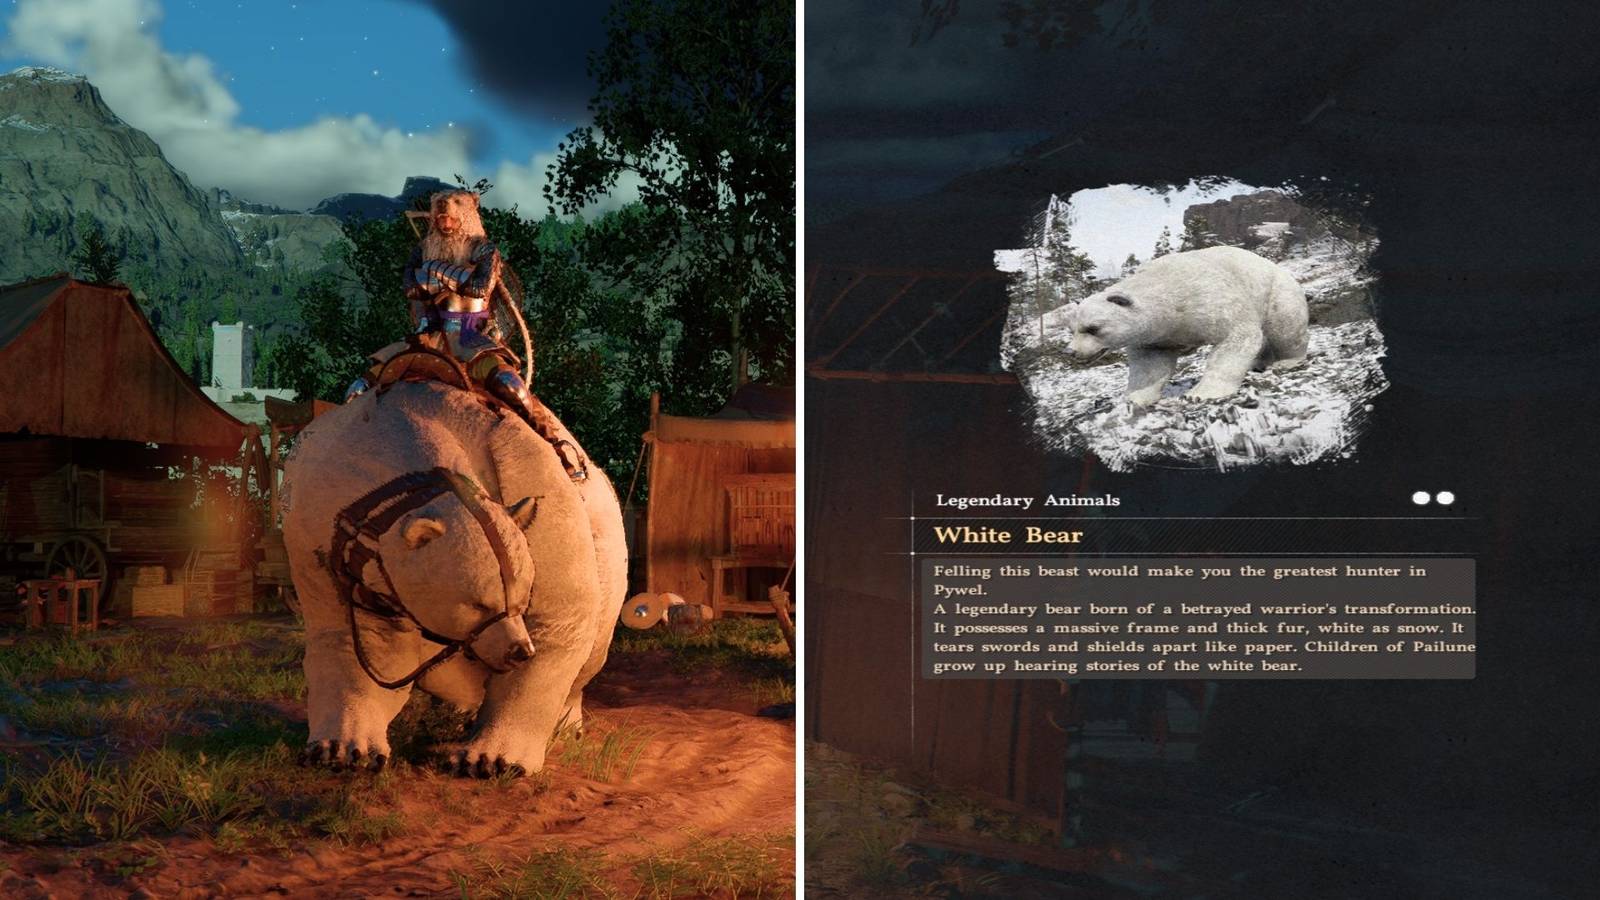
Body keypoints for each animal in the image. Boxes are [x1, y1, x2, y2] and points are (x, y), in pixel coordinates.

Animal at [1066, 245, 1309, 405]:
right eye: (1073, 329)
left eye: (1093, 328)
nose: (1072, 352)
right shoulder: (1156, 335)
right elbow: (1150, 364)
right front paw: (1134, 398)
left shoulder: (1207, 298)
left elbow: (1236, 336)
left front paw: (1199, 394)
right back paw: (1259, 362)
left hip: (1276, 292)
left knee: (1285, 327)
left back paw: (1286, 361)